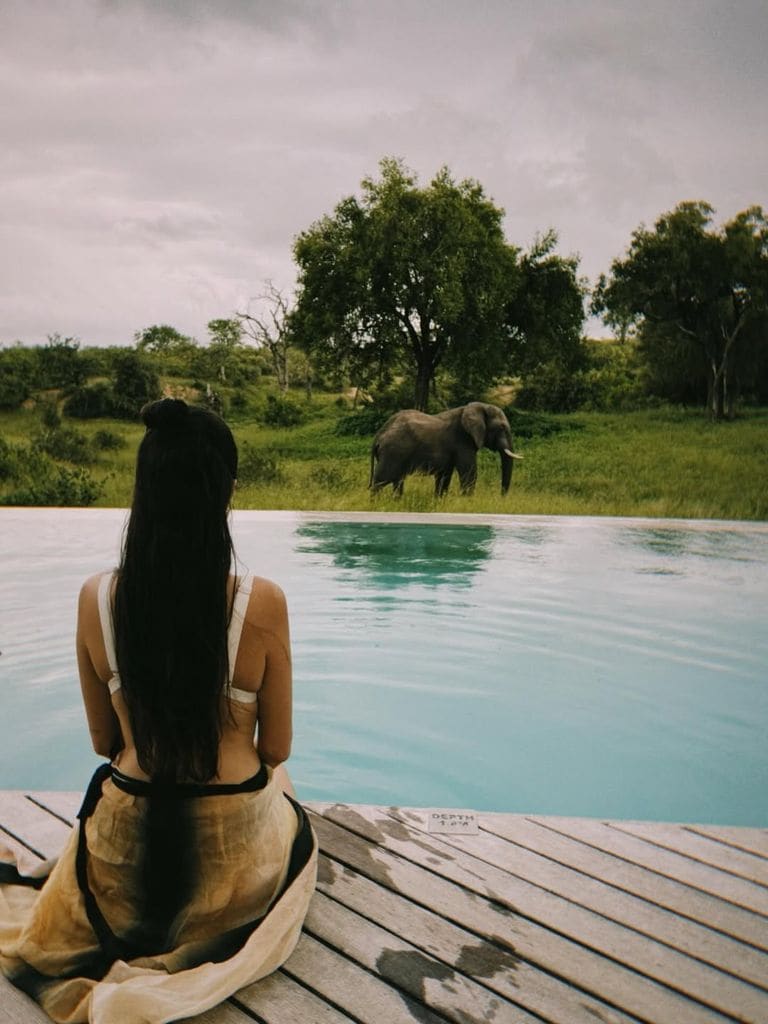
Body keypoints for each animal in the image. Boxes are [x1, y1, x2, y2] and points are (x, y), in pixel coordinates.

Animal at [369, 402, 523, 497]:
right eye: (501, 428)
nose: (502, 497)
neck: (478, 407)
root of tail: (379, 435)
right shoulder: (463, 441)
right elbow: (469, 473)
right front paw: (467, 502)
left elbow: (444, 476)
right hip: (393, 452)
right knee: (380, 481)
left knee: (397, 480)